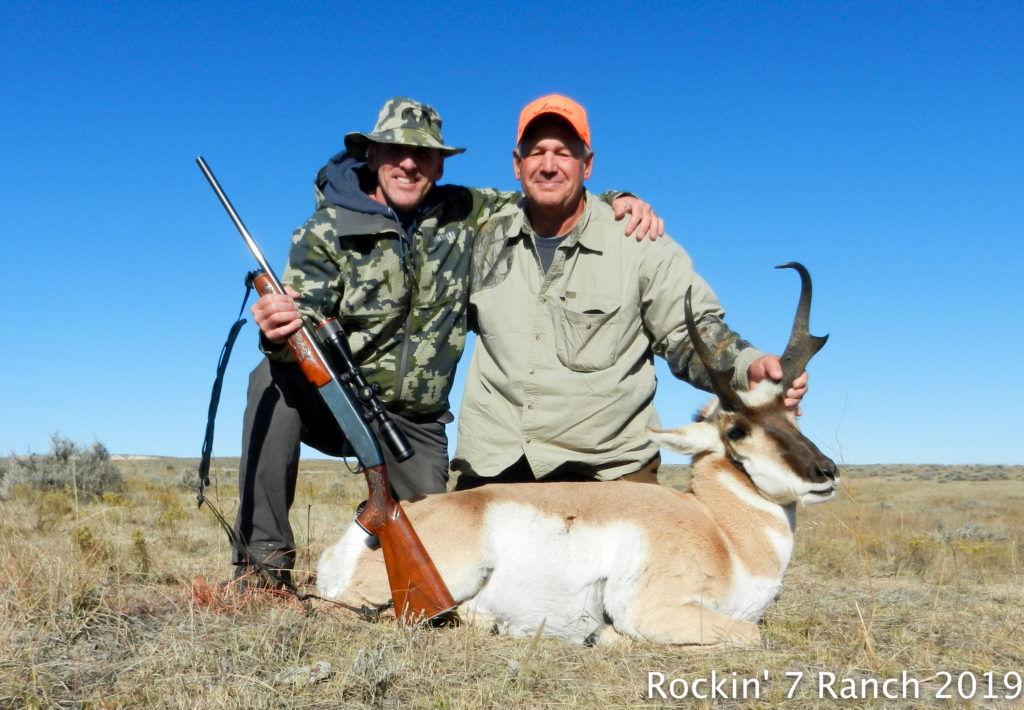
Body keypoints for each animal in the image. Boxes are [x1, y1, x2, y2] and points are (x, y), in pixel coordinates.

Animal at [315, 262, 835, 643]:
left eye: (793, 414)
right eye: (739, 429)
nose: (826, 471)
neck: (721, 530)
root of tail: (355, 538)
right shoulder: (655, 610)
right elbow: (752, 635)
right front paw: (603, 637)